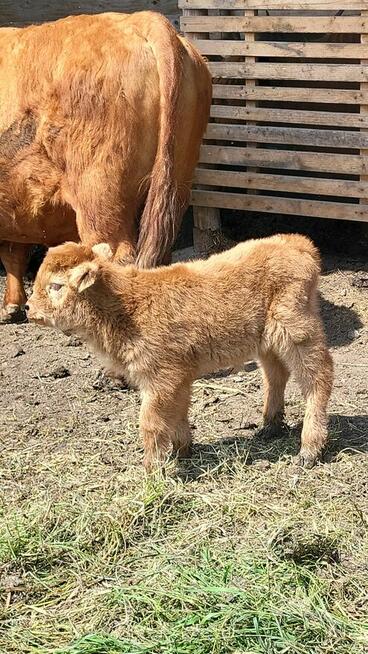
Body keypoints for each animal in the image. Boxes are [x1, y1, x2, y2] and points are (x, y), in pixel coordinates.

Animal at [0, 12, 213, 322]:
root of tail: (139, 20)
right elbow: (13, 250)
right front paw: (12, 305)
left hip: (99, 195)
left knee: (114, 255)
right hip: (176, 183)